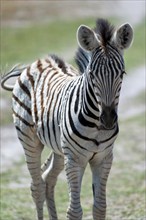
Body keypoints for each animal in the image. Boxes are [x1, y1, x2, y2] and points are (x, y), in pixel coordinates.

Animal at [1, 19, 133, 220]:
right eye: (91, 74)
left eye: (122, 73)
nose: (108, 120)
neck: (96, 126)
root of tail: (38, 62)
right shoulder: (74, 159)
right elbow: (74, 211)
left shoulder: (103, 158)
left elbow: (100, 207)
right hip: (29, 140)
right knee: (37, 186)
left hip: (58, 148)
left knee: (48, 179)